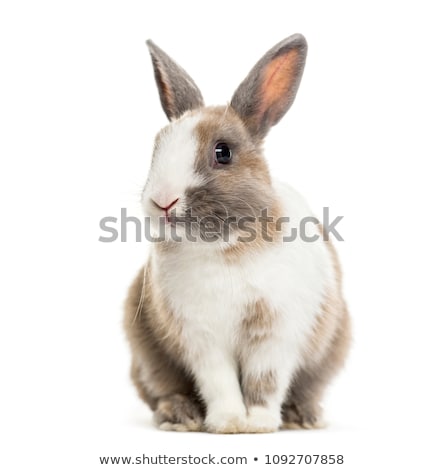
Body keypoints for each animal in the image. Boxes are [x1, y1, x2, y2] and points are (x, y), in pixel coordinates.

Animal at [124, 35, 350, 436]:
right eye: (157, 147)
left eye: (223, 152)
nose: (162, 201)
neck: (223, 247)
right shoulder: (201, 338)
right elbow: (220, 382)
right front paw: (229, 423)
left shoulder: (275, 334)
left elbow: (265, 381)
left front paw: (257, 424)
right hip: (146, 356)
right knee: (162, 389)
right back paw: (180, 416)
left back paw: (304, 417)